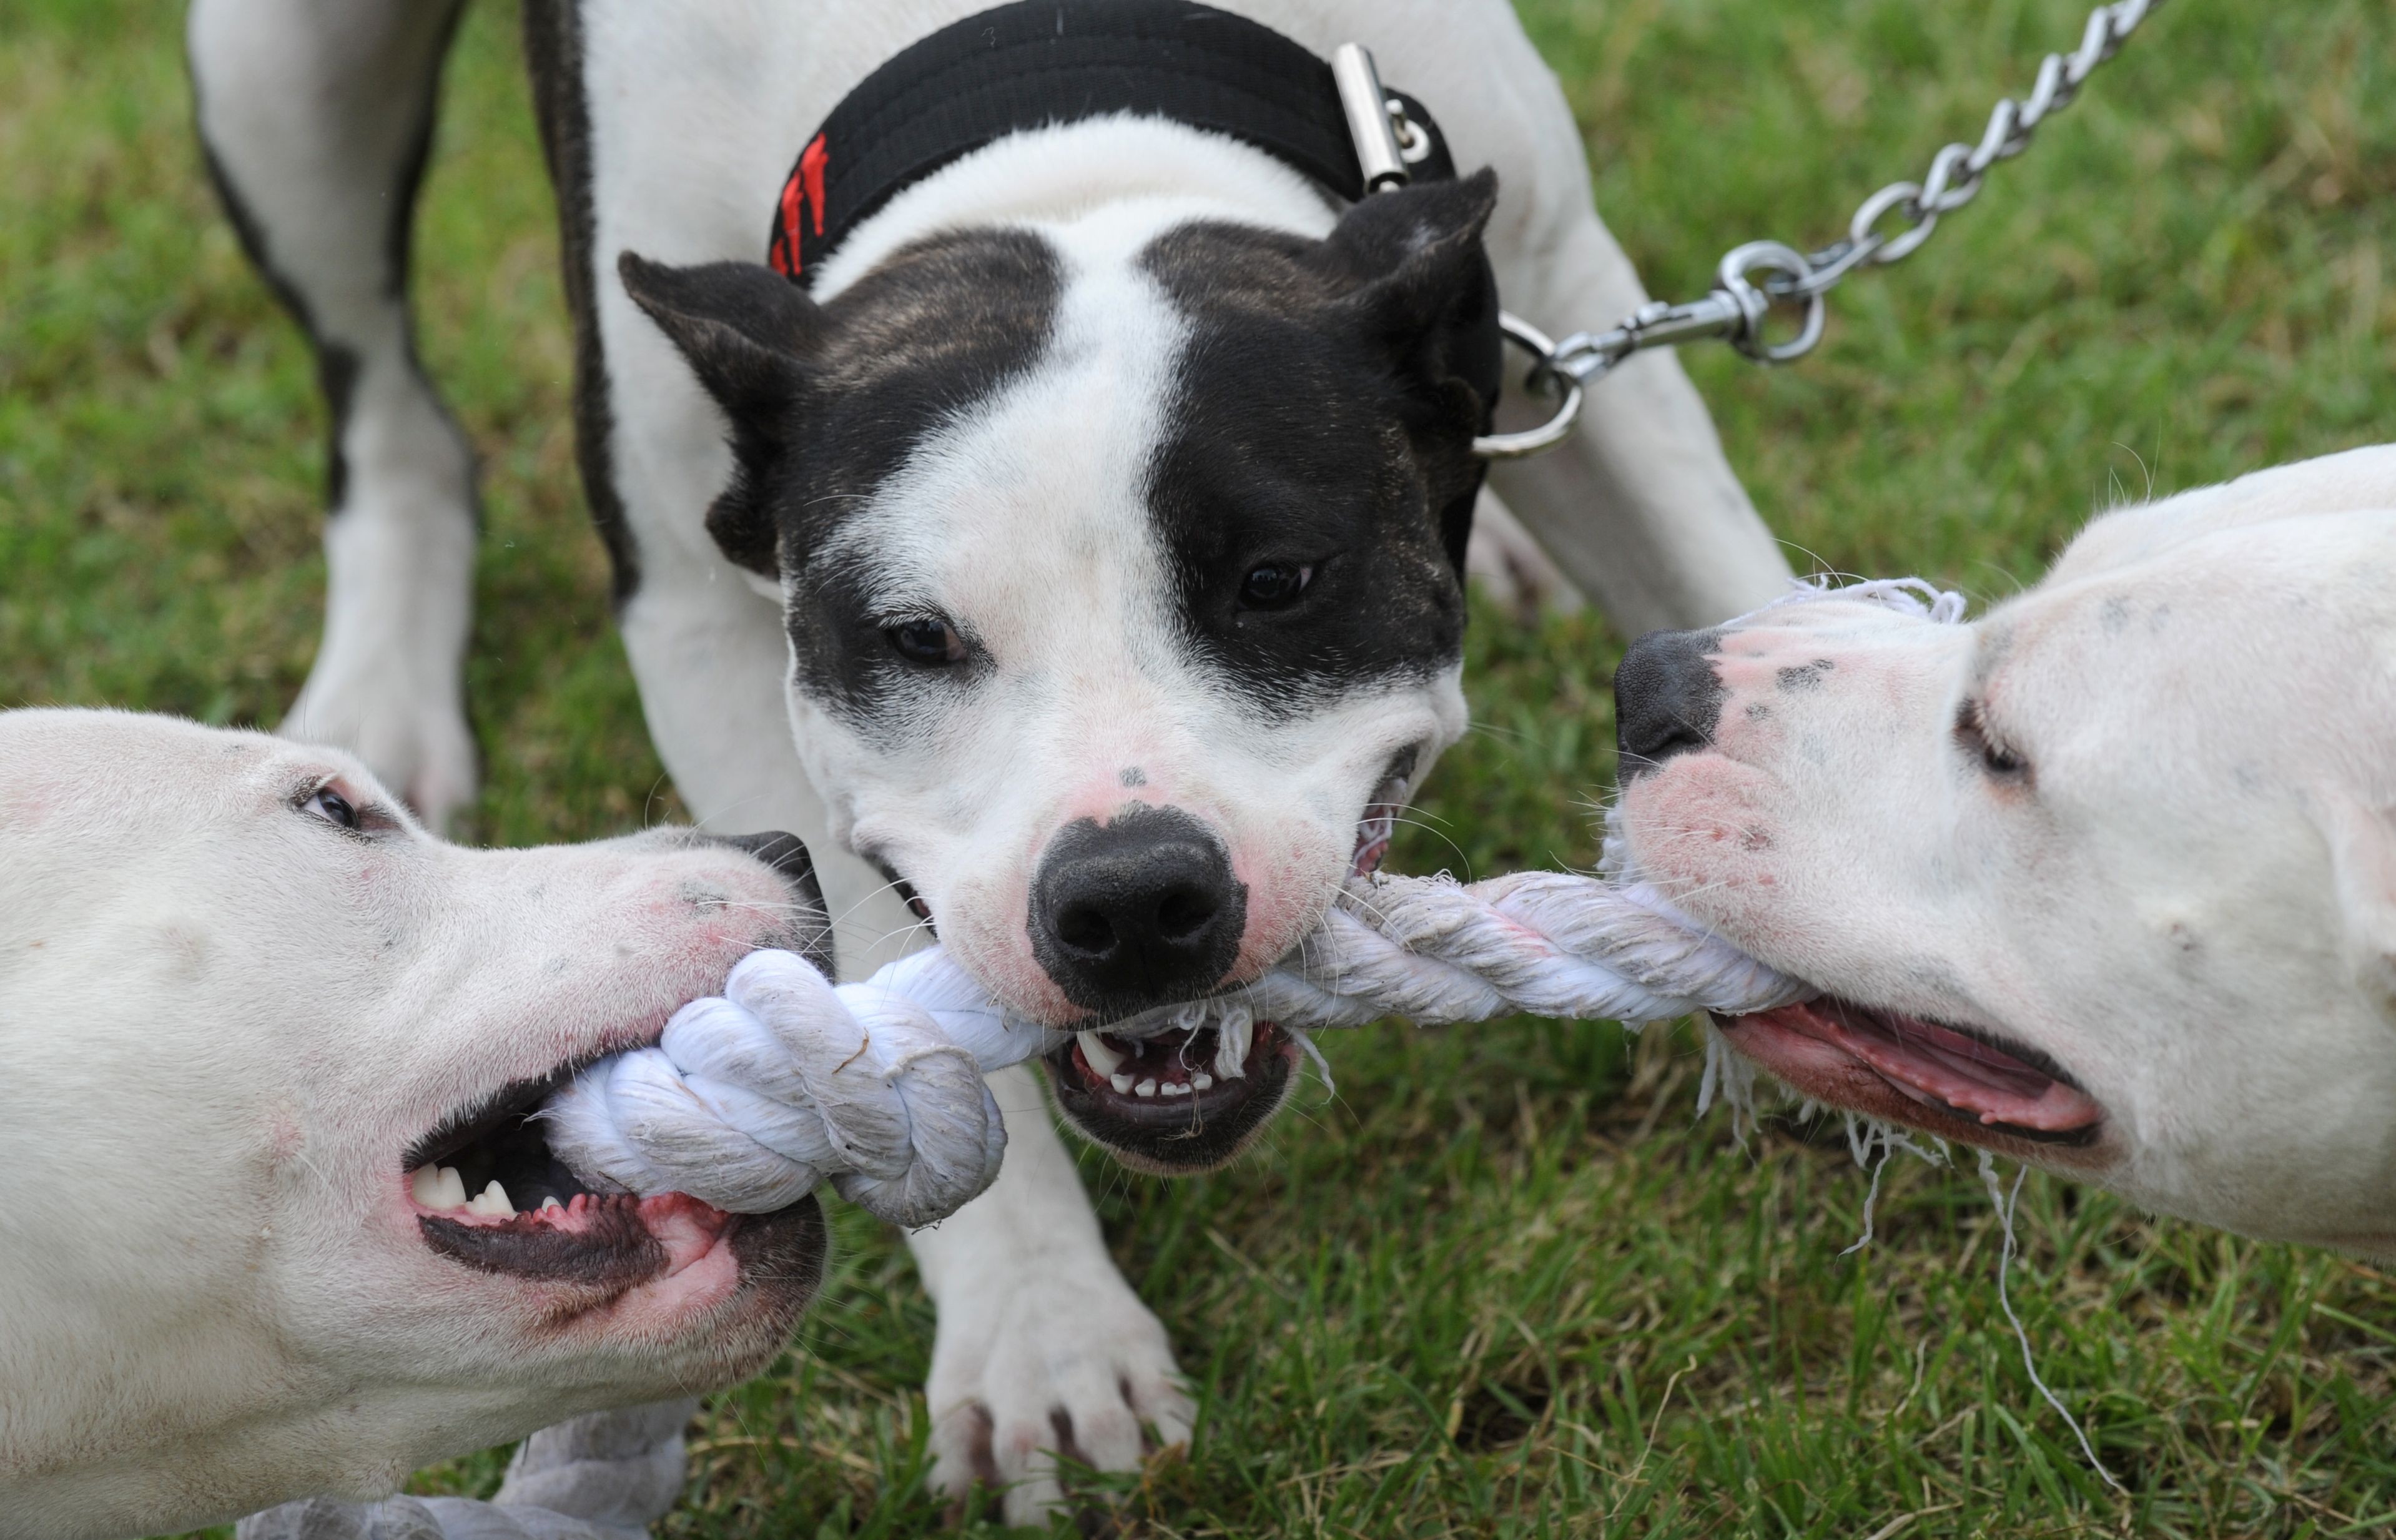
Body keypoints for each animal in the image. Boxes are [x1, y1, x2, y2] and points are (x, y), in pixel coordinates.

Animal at [187, 0, 1792, 1513]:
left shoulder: (1576, 305)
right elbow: (868, 1012)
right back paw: (379, 693)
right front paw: (1046, 1329)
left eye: (1277, 581)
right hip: (278, 72)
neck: (1053, 89)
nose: (1132, 898)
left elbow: (1733, 590)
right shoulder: (697, 615)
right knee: (382, 406)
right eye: (912, 638)